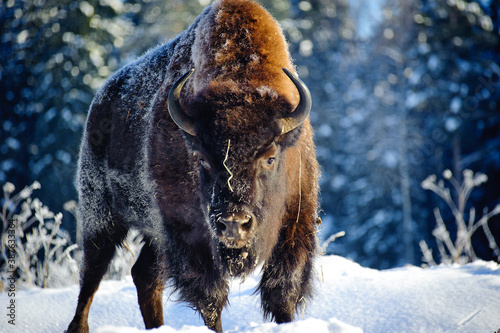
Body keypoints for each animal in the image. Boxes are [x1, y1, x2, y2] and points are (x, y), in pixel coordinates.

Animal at [68, 1, 320, 330]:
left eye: (270, 157)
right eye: (201, 158)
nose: (233, 224)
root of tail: (100, 101)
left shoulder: (296, 222)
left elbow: (282, 292)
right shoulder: (188, 235)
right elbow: (210, 299)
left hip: (152, 233)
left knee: (144, 275)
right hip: (101, 216)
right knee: (92, 274)